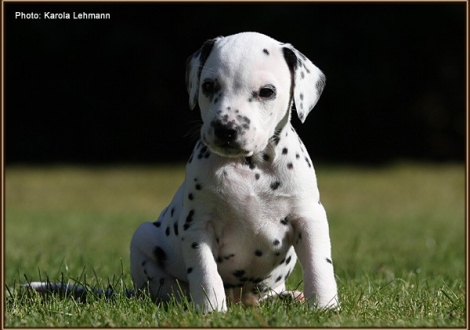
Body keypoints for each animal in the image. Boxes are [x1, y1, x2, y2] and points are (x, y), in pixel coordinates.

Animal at [130, 32, 340, 314]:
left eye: (267, 92)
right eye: (208, 86)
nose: (226, 129)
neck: (250, 167)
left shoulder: (309, 217)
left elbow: (319, 265)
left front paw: (325, 306)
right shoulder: (198, 226)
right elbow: (205, 273)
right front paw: (211, 310)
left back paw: (289, 297)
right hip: (142, 240)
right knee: (166, 286)